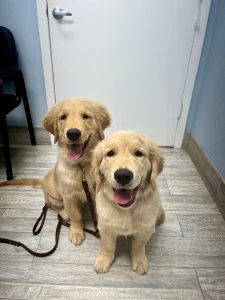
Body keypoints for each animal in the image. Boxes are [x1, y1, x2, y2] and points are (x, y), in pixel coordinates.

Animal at [92, 131, 165, 274]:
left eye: (138, 153)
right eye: (110, 153)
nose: (123, 175)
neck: (126, 210)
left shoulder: (145, 229)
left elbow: (138, 246)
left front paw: (140, 261)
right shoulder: (105, 226)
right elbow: (108, 246)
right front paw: (104, 260)